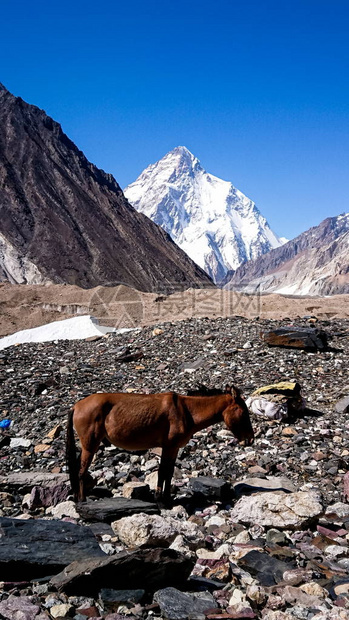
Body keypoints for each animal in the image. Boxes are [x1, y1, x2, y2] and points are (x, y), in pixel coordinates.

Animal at [66, 386, 254, 502]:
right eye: (244, 413)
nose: (250, 439)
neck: (187, 411)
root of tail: (76, 406)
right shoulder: (168, 447)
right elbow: (163, 472)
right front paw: (159, 498)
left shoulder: (174, 449)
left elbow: (168, 473)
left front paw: (166, 497)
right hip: (90, 445)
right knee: (81, 471)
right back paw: (82, 499)